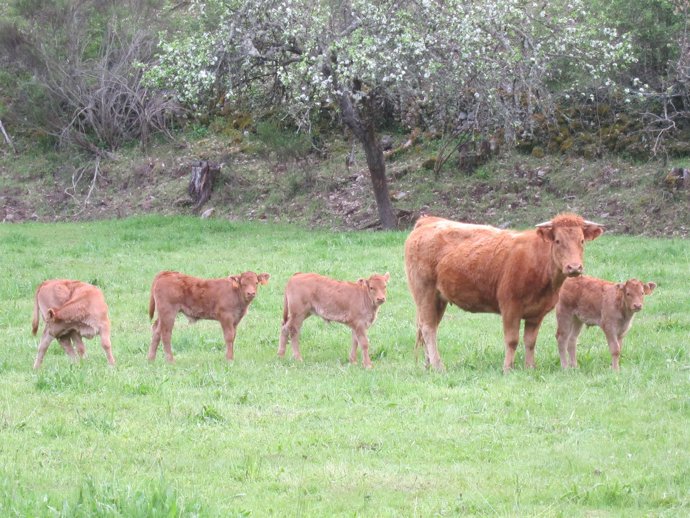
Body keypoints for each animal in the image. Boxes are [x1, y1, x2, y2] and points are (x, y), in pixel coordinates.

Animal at [404, 213, 604, 372]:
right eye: (557, 241)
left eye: (581, 241)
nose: (574, 267)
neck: (538, 262)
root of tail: (428, 220)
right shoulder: (510, 307)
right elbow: (512, 340)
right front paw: (507, 368)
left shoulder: (537, 313)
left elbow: (530, 341)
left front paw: (530, 368)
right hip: (425, 292)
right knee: (428, 328)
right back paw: (439, 366)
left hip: (438, 298)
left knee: (427, 327)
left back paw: (428, 365)